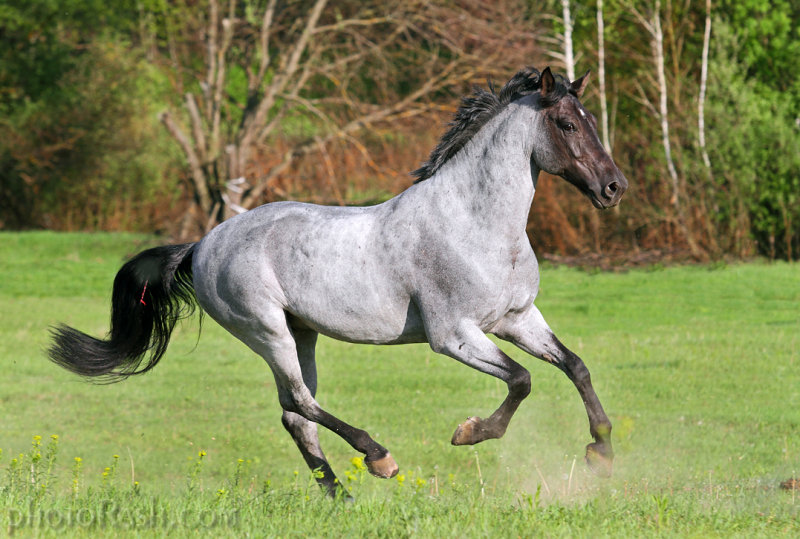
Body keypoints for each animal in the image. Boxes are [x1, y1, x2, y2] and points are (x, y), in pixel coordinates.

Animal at [48, 67, 624, 498]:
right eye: (567, 125)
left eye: (591, 120)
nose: (614, 187)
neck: (476, 223)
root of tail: (202, 244)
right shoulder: (453, 335)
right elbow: (522, 380)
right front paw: (470, 433)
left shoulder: (517, 319)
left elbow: (575, 366)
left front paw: (600, 453)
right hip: (267, 332)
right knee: (301, 404)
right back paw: (379, 459)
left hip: (301, 333)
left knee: (295, 415)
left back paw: (340, 497)